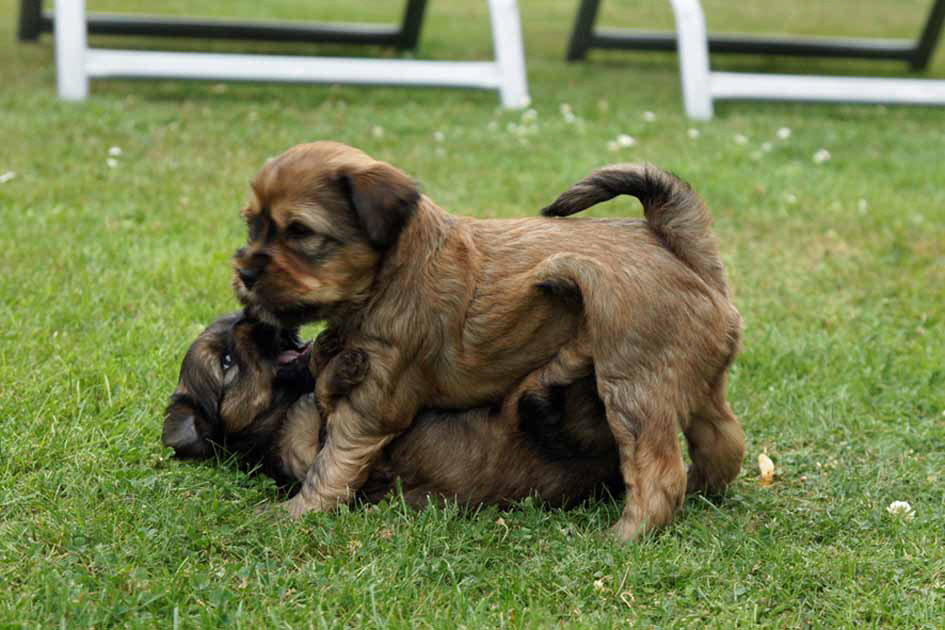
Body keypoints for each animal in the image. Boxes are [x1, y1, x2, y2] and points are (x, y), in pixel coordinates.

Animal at [162, 314, 620, 512]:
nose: (248, 314)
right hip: (535, 410)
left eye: (231, 319)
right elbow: (326, 407)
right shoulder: (318, 450)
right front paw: (342, 367)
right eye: (226, 362)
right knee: (545, 390)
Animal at [232, 144, 740, 544]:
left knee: (658, 475)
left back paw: (625, 534)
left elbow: (330, 463)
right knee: (723, 439)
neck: (394, 270)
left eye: (300, 232)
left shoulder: (373, 404)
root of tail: (679, 252)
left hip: (635, 386)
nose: (246, 273)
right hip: (694, 379)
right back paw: (704, 488)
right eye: (252, 226)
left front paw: (297, 512)